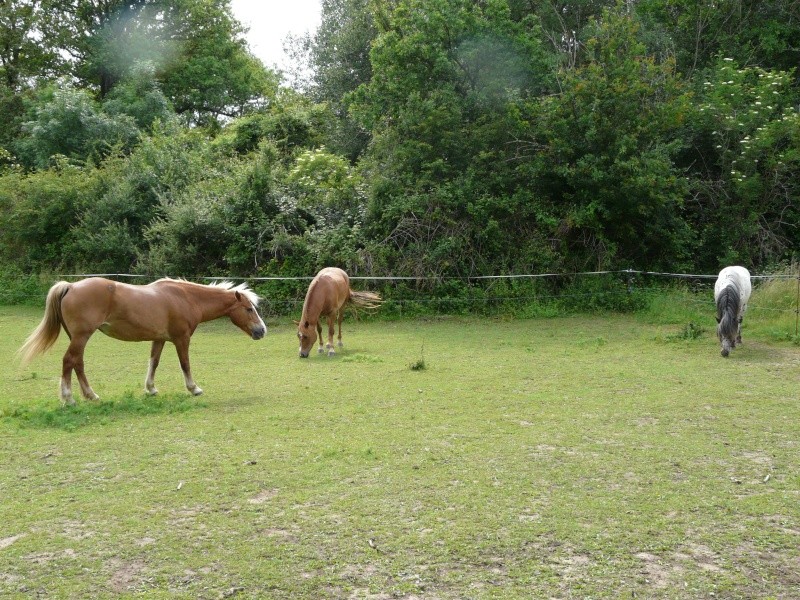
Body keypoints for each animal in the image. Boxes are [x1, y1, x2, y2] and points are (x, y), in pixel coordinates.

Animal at [18, 278, 266, 406]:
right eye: (248, 309)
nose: (262, 330)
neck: (185, 297)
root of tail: (71, 285)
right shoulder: (181, 339)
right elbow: (185, 364)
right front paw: (194, 388)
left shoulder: (159, 339)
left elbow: (153, 363)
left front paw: (151, 389)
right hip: (81, 336)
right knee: (69, 360)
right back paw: (69, 399)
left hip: (78, 337)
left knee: (77, 363)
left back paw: (91, 395)